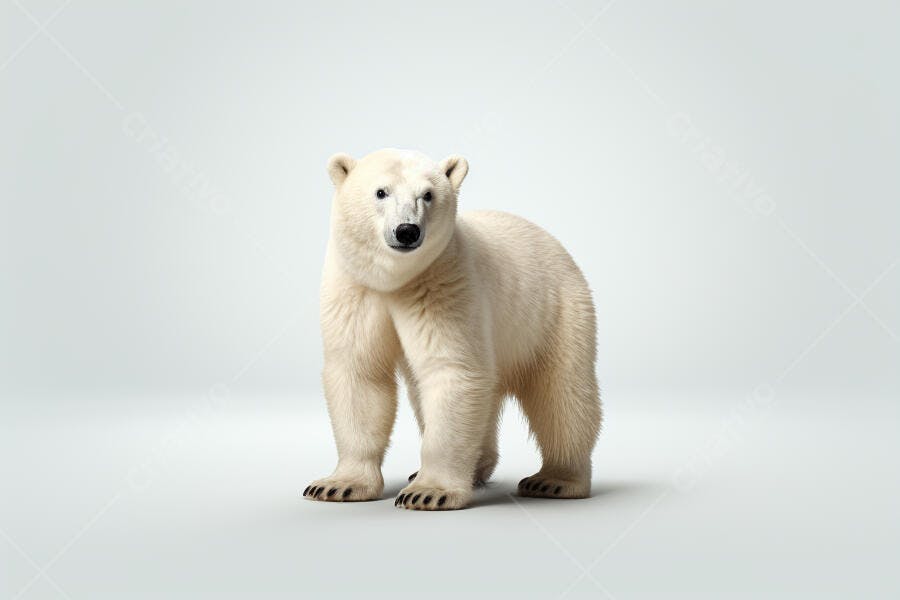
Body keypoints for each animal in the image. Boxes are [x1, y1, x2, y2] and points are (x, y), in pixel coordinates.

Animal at [302, 149, 601, 510]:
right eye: (381, 192)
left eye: (428, 194)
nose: (407, 231)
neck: (395, 281)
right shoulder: (356, 290)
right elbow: (360, 372)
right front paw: (339, 485)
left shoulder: (444, 281)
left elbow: (452, 371)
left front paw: (429, 491)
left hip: (554, 313)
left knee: (562, 394)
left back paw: (555, 479)